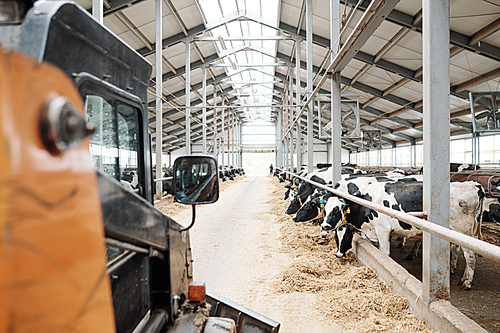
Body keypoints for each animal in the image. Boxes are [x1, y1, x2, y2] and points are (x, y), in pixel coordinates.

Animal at [320, 178, 484, 290]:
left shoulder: (383, 230)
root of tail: (473, 185)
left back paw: (467, 282)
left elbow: (384, 254)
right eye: (336, 237)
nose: (325, 225)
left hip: (462, 231)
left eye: (336, 210)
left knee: (470, 255)